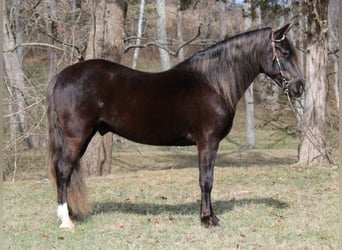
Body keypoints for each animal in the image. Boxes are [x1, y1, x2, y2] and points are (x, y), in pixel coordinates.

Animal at [47, 24, 302, 229]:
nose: (300, 86)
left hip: (84, 136)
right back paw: (66, 221)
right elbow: (206, 180)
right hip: (76, 136)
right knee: (63, 170)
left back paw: (70, 214)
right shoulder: (207, 142)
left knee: (68, 172)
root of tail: (61, 76)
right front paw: (208, 220)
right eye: (284, 52)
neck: (212, 83)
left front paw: (210, 217)